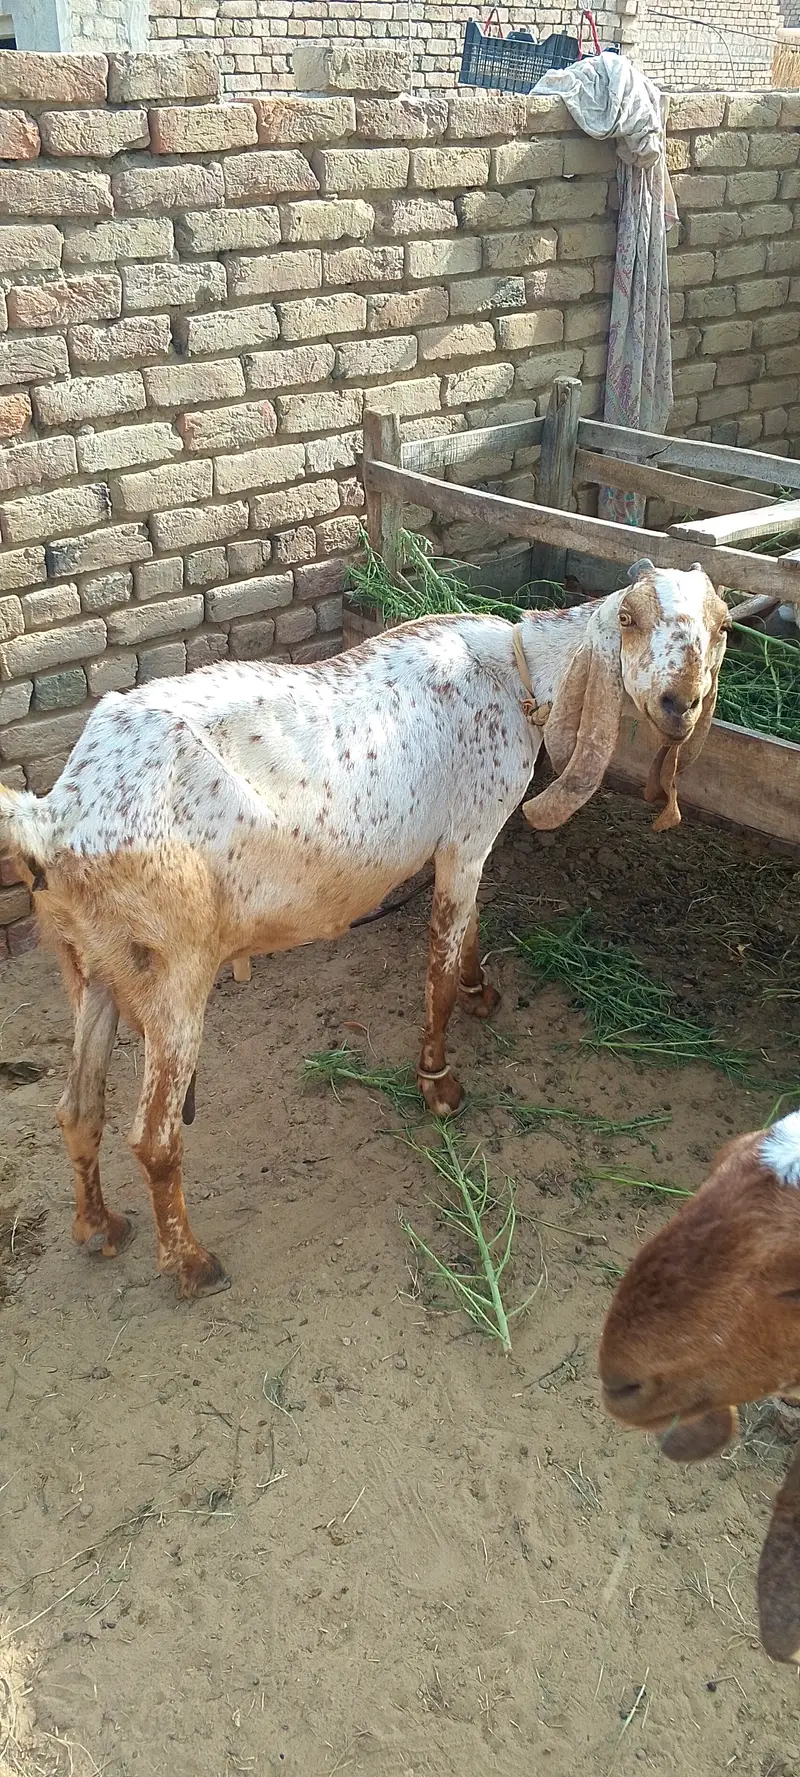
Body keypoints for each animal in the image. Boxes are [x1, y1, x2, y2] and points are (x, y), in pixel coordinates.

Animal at [0, 559, 729, 1300]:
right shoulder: (469, 833)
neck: (516, 672)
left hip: (93, 962)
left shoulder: (462, 843)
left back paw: (99, 1226)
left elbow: (468, 932)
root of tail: (54, 816)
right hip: (173, 971)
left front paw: (482, 993)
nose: (680, 702)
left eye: (722, 626)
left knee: (77, 1107)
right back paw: (192, 1264)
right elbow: (440, 959)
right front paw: (439, 1082)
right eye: (630, 619)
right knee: (154, 1137)